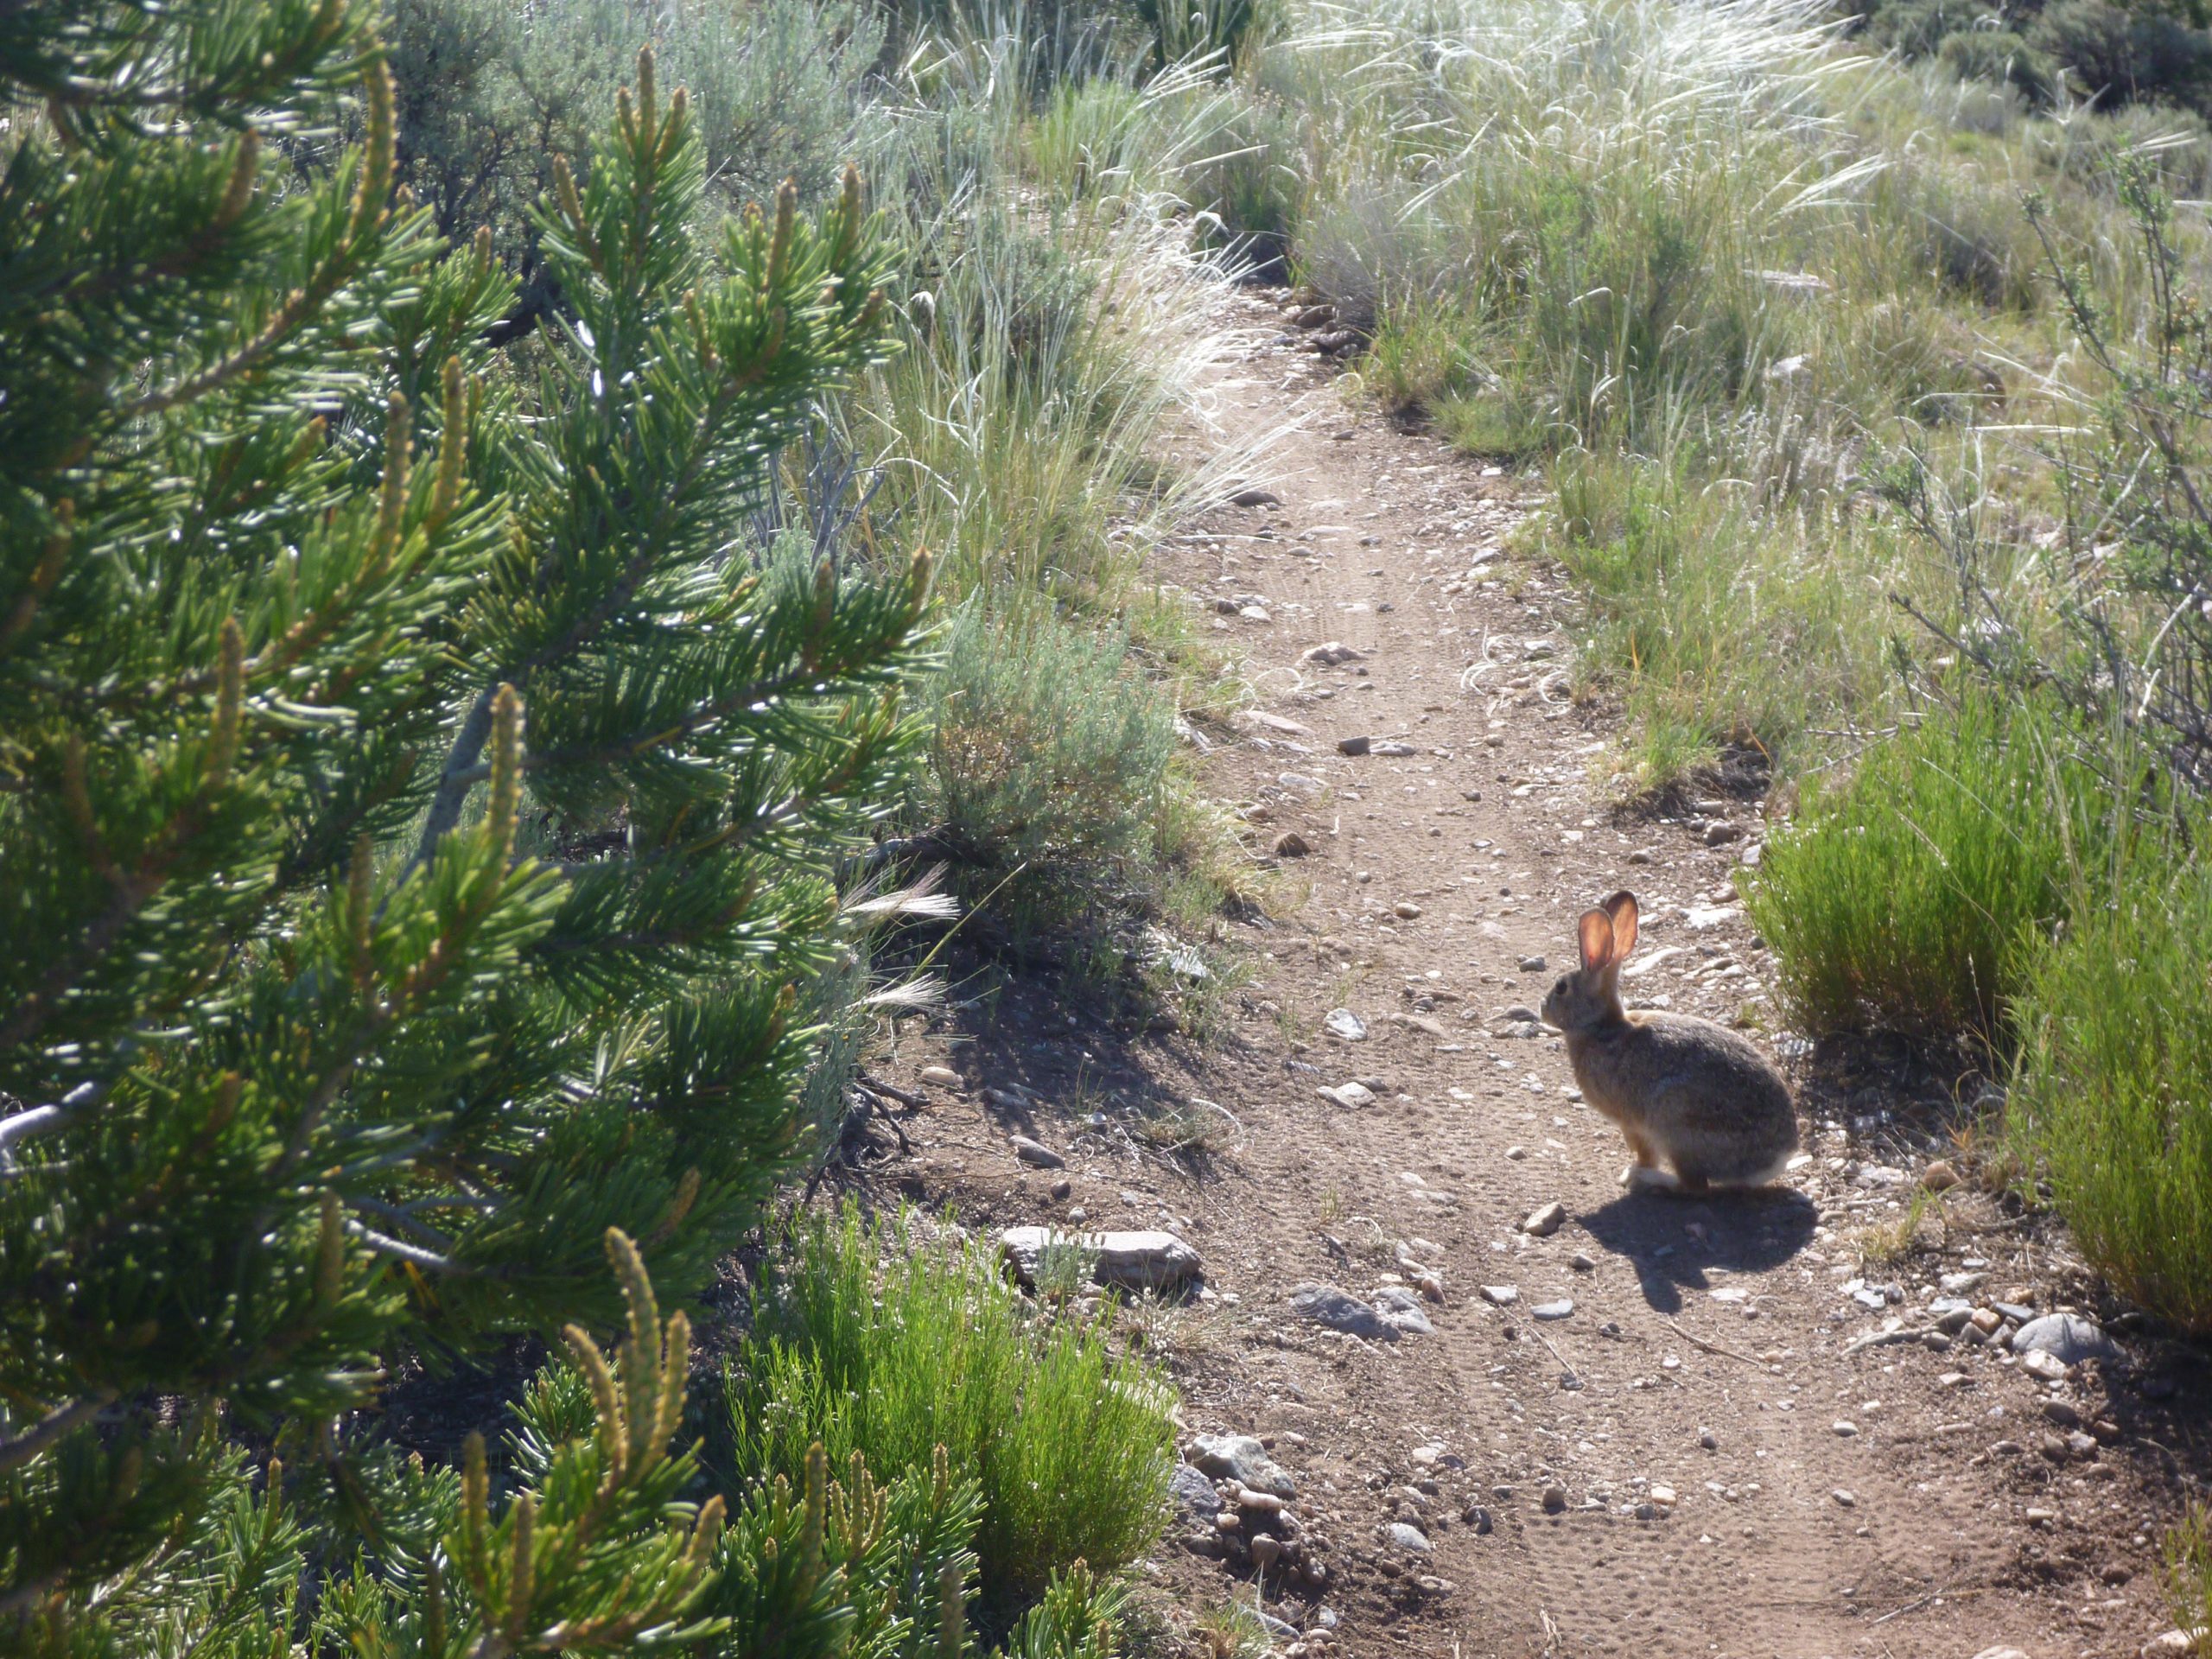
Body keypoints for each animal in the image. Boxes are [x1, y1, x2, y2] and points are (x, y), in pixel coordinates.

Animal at [1538, 890, 1798, 1194]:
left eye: (1561, 987)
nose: (1542, 1008)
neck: (1601, 1026)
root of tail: (1777, 1159)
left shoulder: (1633, 1124)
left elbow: (1645, 1153)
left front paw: (1633, 1172)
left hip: (1677, 1122)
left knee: (1694, 1186)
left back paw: (1647, 1178)